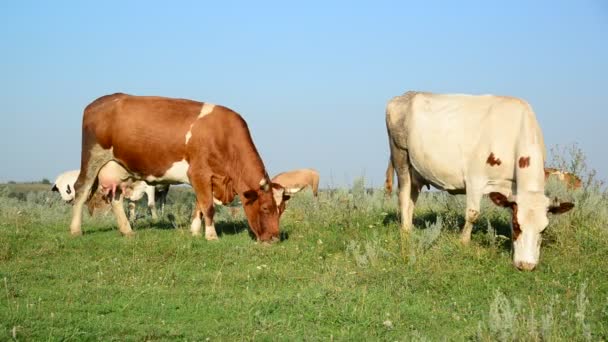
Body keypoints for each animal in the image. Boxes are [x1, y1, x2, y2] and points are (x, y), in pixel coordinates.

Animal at [67, 92, 286, 242]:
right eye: (266, 208)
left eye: (281, 209)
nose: (275, 238)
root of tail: (102, 100)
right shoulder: (199, 173)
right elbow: (208, 206)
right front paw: (211, 235)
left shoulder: (205, 179)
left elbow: (199, 206)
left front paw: (195, 231)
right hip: (92, 158)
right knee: (82, 189)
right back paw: (76, 230)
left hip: (119, 167)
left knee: (116, 198)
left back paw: (127, 230)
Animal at [384, 92, 576, 272]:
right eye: (517, 225)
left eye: (544, 229)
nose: (526, 265)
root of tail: (404, 95)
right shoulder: (475, 177)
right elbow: (473, 214)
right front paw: (463, 242)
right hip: (400, 154)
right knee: (403, 196)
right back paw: (406, 232)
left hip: (416, 170)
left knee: (411, 199)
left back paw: (409, 227)